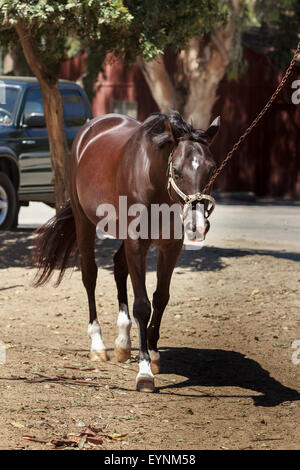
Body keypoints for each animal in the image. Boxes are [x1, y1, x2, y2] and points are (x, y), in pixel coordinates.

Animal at [33, 111, 220, 392]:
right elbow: (142, 305)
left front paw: (153, 353)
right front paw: (145, 371)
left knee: (119, 266)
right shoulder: (136, 242)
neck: (154, 182)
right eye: (177, 171)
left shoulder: (171, 247)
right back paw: (98, 345)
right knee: (90, 276)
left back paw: (123, 342)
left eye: (211, 169)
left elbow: (161, 298)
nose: (197, 225)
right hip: (84, 222)